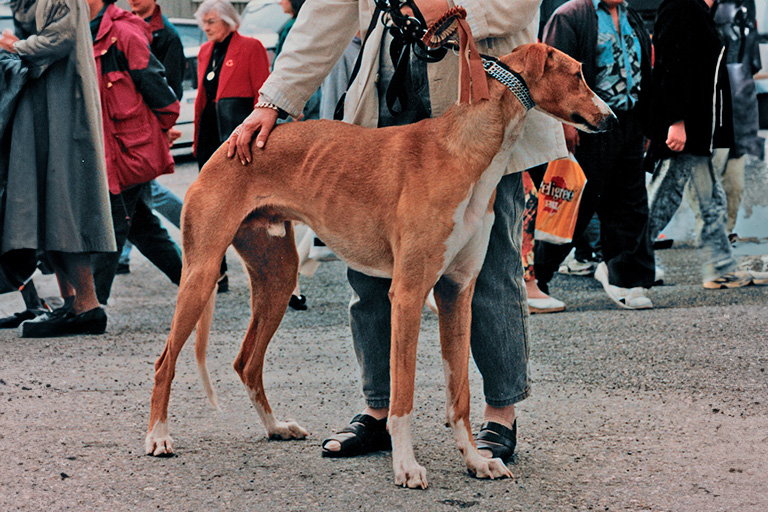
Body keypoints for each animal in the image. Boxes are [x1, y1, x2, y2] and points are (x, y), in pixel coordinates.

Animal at [146, 44, 616, 488]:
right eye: (578, 74)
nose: (611, 118)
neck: (465, 149)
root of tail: (229, 145)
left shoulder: (456, 292)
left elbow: (460, 396)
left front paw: (477, 460)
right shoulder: (407, 294)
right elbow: (402, 394)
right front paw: (406, 467)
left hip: (277, 280)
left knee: (246, 362)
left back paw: (276, 427)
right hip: (202, 273)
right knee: (165, 361)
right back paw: (158, 437)